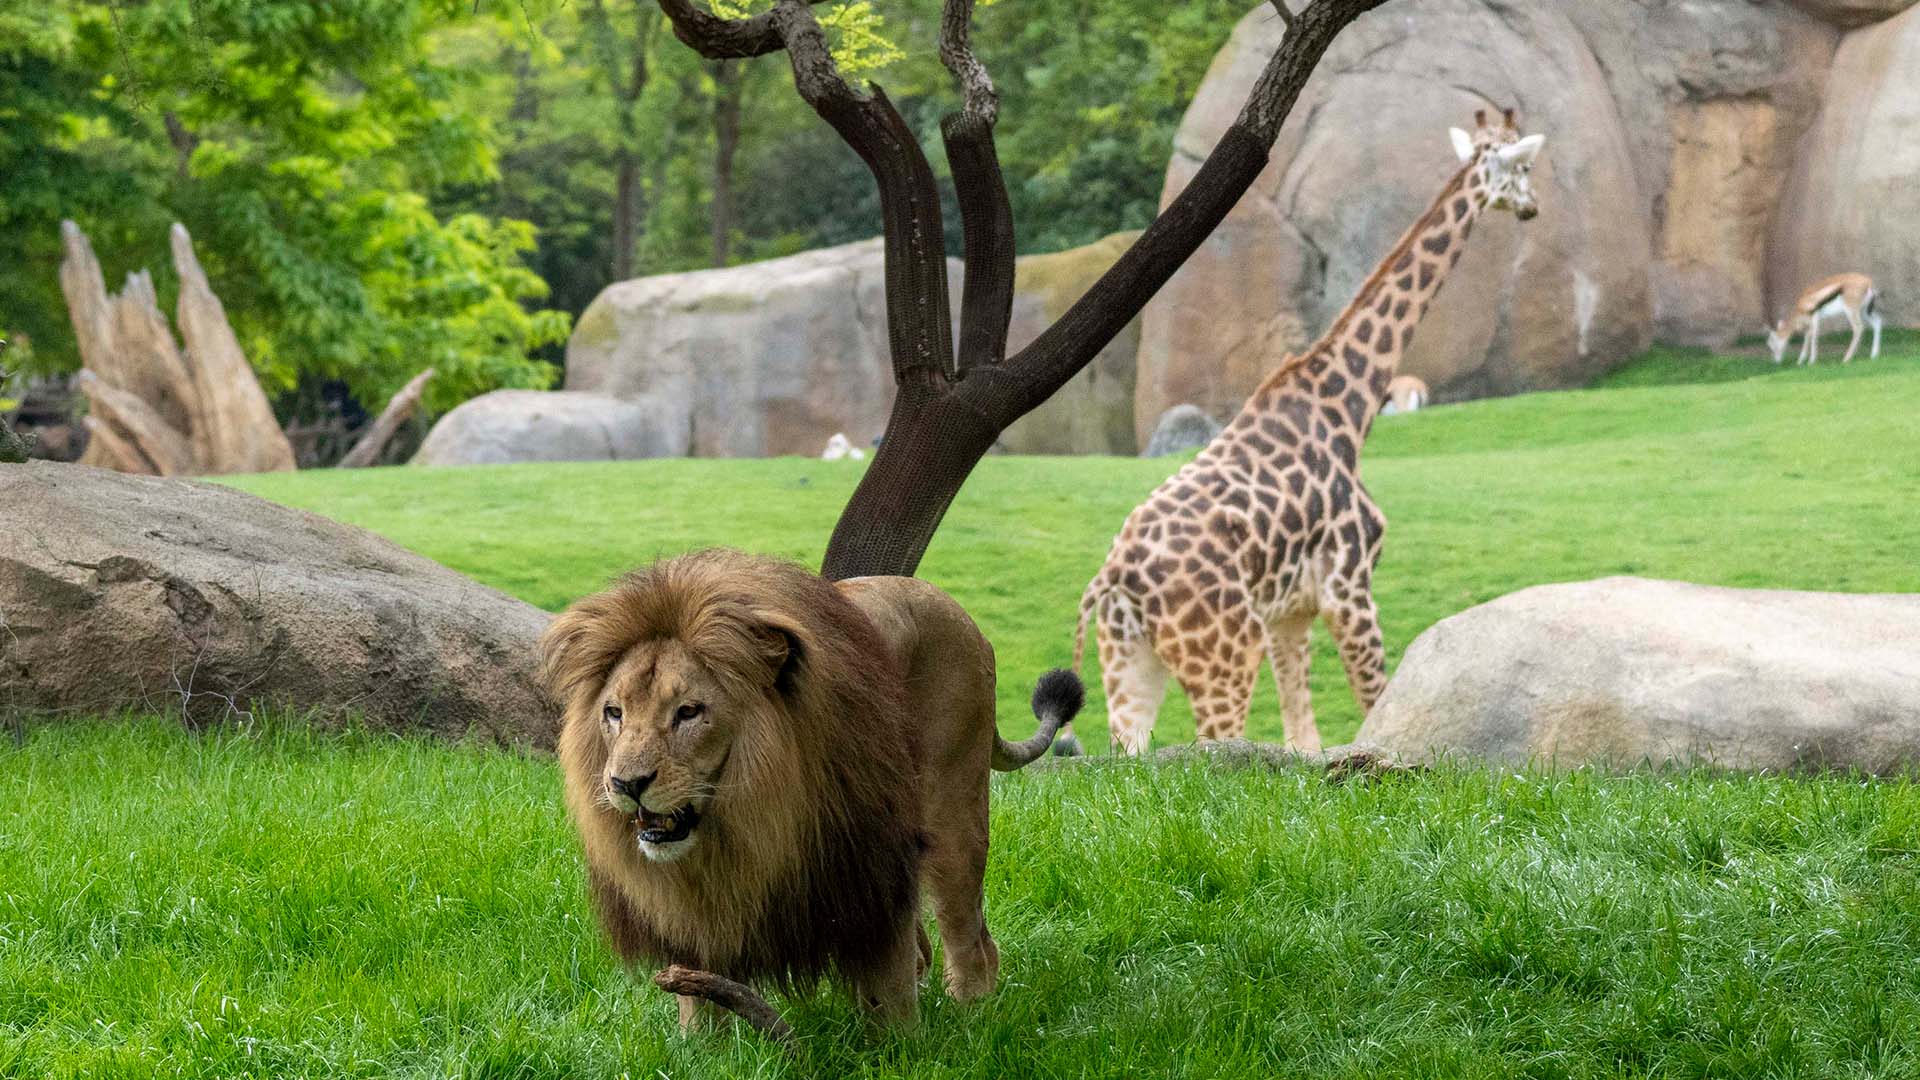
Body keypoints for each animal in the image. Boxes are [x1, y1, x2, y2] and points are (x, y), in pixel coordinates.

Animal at [539, 548, 1083, 1030]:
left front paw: (898, 1052)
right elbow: (697, 997)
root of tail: (960, 614)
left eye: (689, 712)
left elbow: (888, 988)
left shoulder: (869, 867)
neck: (743, 822)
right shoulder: (693, 910)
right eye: (614, 713)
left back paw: (973, 1019)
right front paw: (701, 1052)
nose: (625, 784)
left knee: (969, 940)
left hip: (951, 818)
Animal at [1070, 110, 1546, 756]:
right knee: (1212, 745)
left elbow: (1304, 738)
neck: (1349, 405)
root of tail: (1114, 580)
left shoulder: (1288, 613)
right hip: (1222, 654)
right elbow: (1374, 709)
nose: (1532, 208)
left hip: (1128, 663)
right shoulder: (1350, 588)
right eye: (1522, 167)